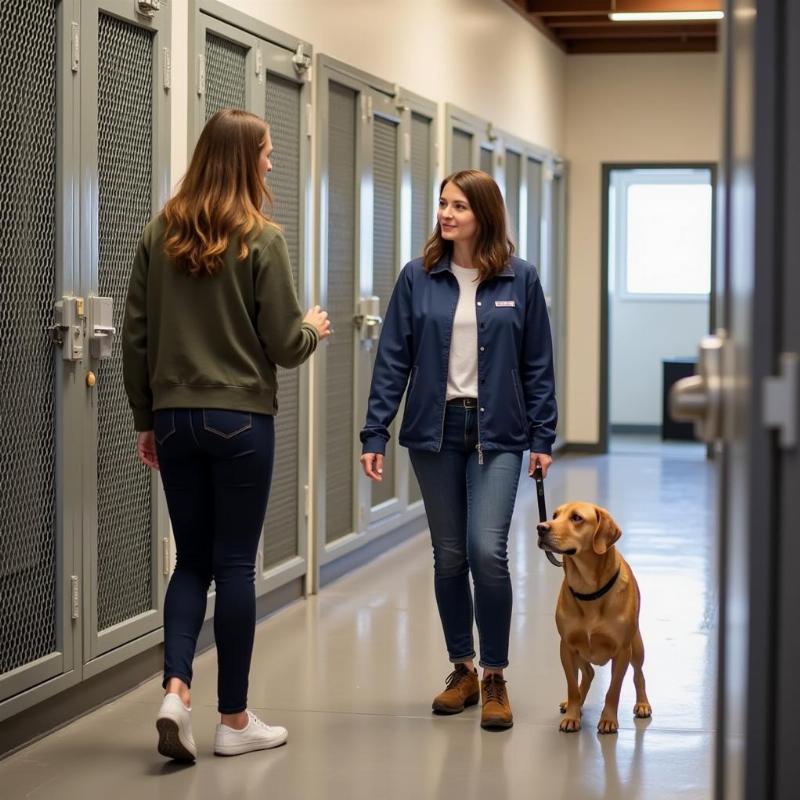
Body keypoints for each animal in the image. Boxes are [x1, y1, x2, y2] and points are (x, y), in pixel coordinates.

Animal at [536, 504, 648, 736]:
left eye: (577, 518)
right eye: (554, 516)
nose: (540, 528)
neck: (588, 590)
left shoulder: (622, 652)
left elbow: (614, 690)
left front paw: (608, 720)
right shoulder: (567, 647)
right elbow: (572, 685)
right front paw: (572, 715)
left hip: (636, 647)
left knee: (638, 674)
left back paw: (643, 703)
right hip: (581, 652)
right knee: (588, 673)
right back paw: (576, 705)